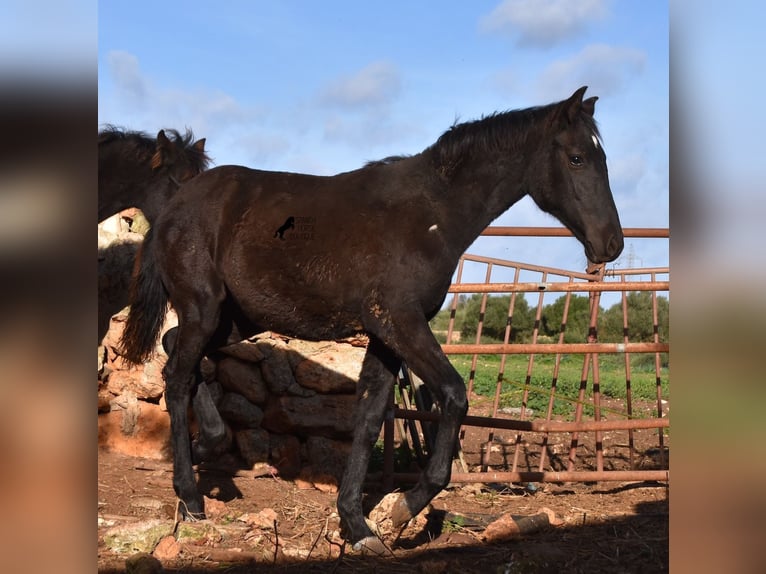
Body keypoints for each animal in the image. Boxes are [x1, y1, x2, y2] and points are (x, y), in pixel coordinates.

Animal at [120, 85, 624, 552]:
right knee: (177, 375)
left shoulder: (385, 336)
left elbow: (368, 417)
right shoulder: (399, 322)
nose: (612, 244)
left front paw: (358, 525)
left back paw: (208, 445)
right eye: (577, 158)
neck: (429, 215)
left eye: (602, 155)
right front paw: (401, 508)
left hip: (236, 317)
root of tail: (174, 207)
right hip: (204, 307)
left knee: (175, 351)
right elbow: (453, 396)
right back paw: (190, 496)